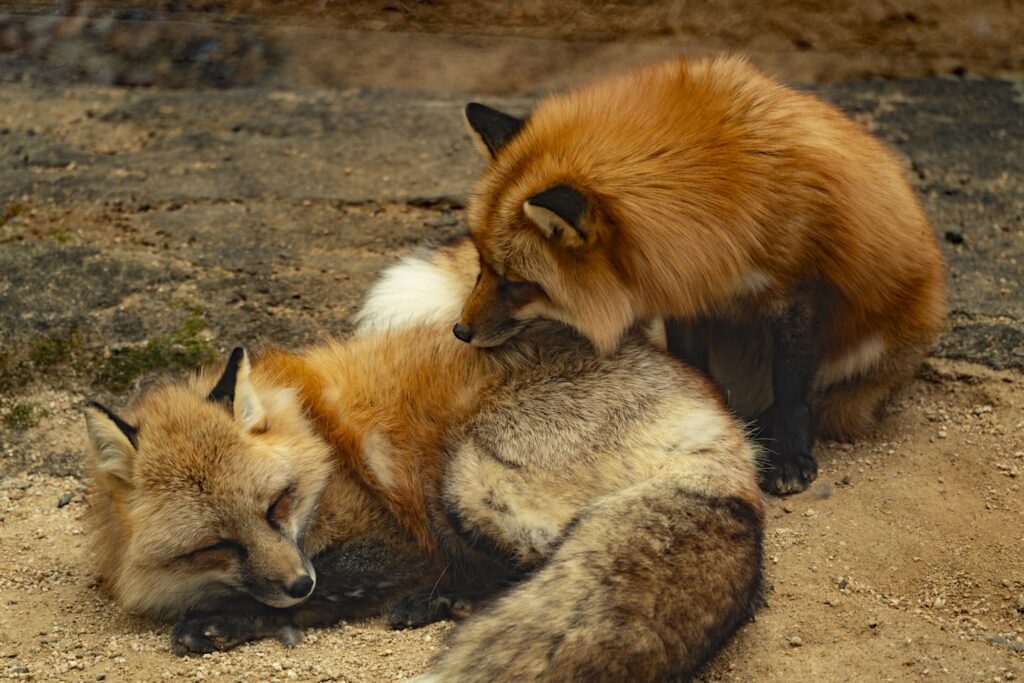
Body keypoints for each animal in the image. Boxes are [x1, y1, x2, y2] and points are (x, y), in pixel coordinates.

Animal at [84, 267, 763, 681]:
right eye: (217, 544)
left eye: (277, 505)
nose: (296, 582)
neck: (316, 443)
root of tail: (727, 436)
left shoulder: (391, 541)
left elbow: (324, 587)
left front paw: (221, 622)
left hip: (462, 476)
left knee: (524, 561)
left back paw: (440, 599)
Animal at [451, 54, 947, 495]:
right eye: (481, 264)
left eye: (517, 283)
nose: (460, 331)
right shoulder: (684, 285)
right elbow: (691, 364)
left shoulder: (796, 290)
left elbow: (791, 386)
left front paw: (789, 457)